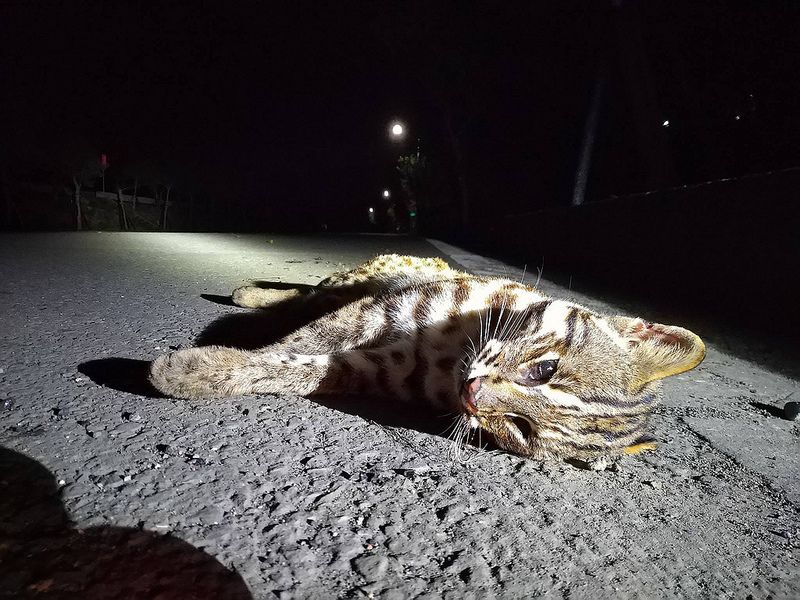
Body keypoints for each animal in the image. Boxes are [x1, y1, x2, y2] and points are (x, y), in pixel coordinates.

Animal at [149, 254, 705, 467]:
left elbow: (306, 369)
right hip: (362, 279)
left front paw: (202, 371)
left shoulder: (382, 367)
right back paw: (250, 299)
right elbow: (291, 350)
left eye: (522, 430)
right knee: (307, 295)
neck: (451, 360)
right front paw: (199, 368)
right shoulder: (384, 311)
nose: (473, 397)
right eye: (544, 369)